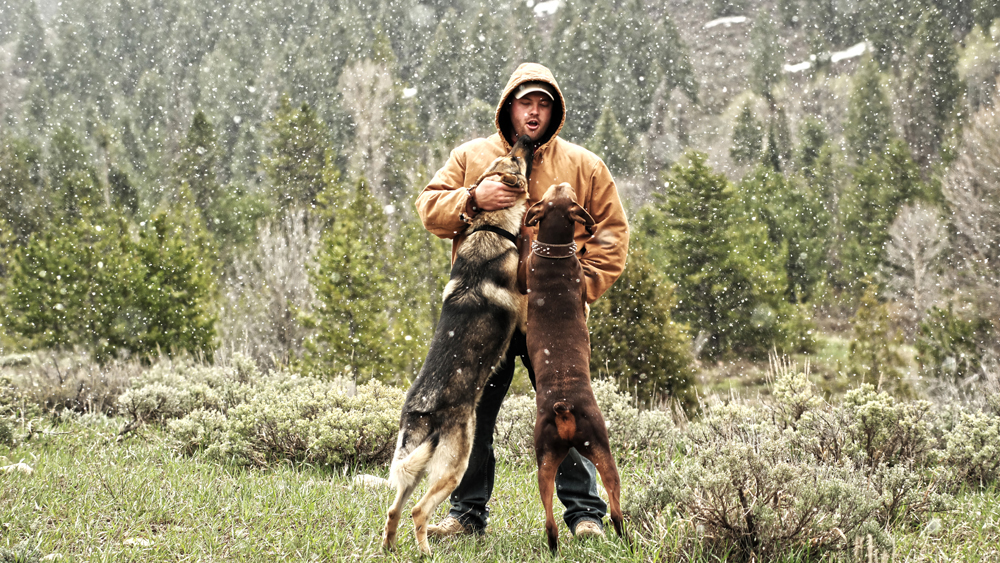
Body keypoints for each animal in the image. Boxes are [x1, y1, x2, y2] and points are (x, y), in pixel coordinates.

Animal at [382, 135, 536, 556]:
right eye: (515, 158)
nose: (523, 139)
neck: (490, 227)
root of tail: (420, 411)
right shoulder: (523, 302)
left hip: (415, 466)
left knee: (394, 510)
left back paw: (389, 548)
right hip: (455, 464)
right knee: (418, 511)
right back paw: (425, 553)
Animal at [524, 183, 624, 552]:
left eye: (556, 190)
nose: (561, 181)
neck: (554, 253)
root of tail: (563, 406)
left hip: (544, 460)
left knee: (551, 520)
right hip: (602, 447)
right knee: (617, 509)